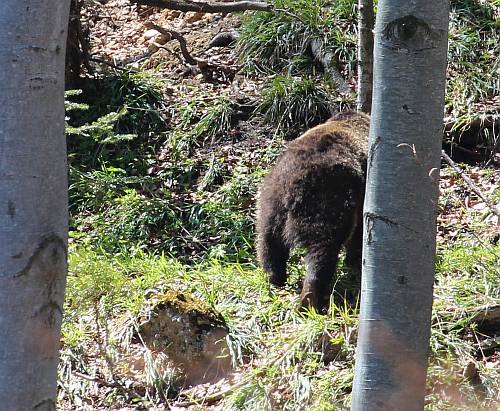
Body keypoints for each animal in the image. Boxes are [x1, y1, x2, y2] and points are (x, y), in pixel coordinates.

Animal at [256, 111, 370, 310]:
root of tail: (291, 187)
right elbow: (357, 234)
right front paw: (354, 261)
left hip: (270, 204)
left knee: (269, 243)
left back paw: (275, 278)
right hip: (325, 203)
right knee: (322, 252)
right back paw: (311, 299)